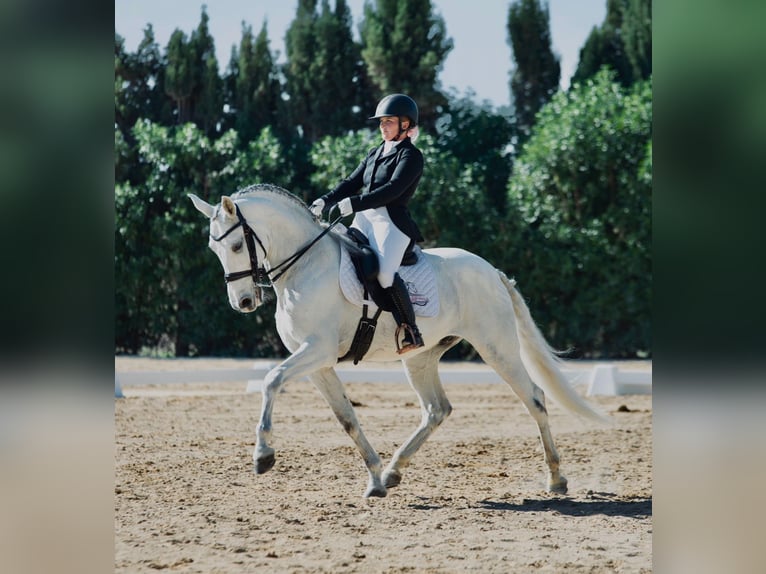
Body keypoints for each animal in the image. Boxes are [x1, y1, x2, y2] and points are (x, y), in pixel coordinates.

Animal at [192, 186, 612, 500]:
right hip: (421, 358)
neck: (304, 267)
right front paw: (375, 478)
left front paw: (263, 455)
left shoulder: (317, 351)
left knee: (535, 398)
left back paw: (556, 479)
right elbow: (347, 418)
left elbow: (271, 380)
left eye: (235, 246)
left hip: (497, 348)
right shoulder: (318, 364)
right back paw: (394, 471)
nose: (244, 302)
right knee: (437, 409)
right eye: (214, 249)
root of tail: (491, 270)